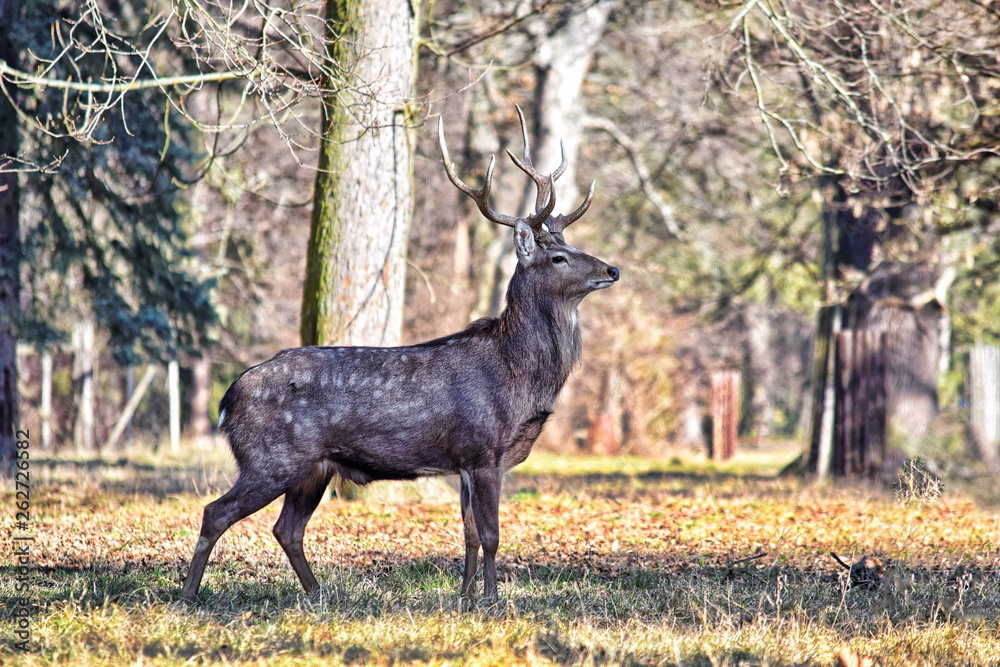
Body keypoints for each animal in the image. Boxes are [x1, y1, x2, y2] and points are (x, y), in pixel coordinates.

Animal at [180, 106, 620, 607]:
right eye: (559, 258)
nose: (612, 269)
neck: (518, 376)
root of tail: (227, 398)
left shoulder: (465, 462)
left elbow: (469, 533)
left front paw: (466, 597)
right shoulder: (483, 448)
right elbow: (491, 534)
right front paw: (491, 600)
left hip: (312, 468)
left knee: (286, 528)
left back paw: (321, 593)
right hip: (270, 456)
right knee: (216, 511)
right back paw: (189, 595)